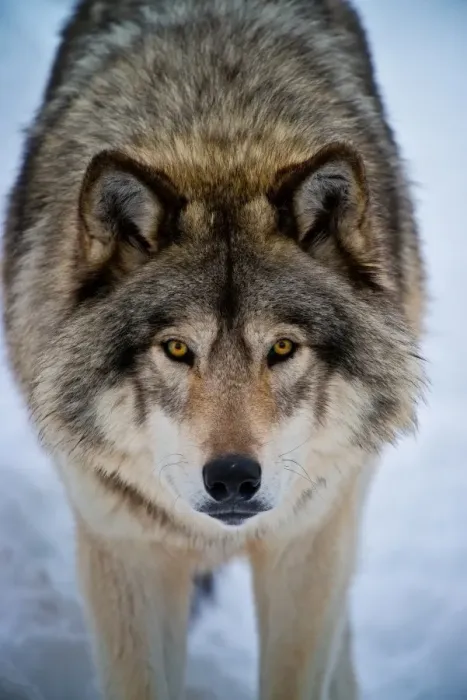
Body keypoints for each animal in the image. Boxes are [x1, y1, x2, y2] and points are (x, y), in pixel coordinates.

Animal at [2, 0, 426, 698]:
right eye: (176, 349)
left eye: (282, 347)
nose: (231, 479)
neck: (218, 144)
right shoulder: (127, 551)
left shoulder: (307, 545)